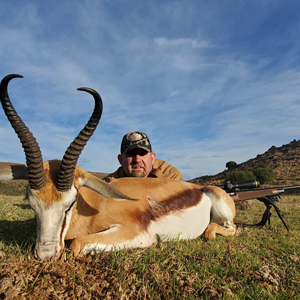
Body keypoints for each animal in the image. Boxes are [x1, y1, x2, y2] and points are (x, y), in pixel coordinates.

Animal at [0, 74, 237, 260]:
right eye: (31, 202)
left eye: (70, 203)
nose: (46, 255)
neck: (92, 206)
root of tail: (200, 188)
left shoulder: (136, 233)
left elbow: (76, 244)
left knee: (230, 229)